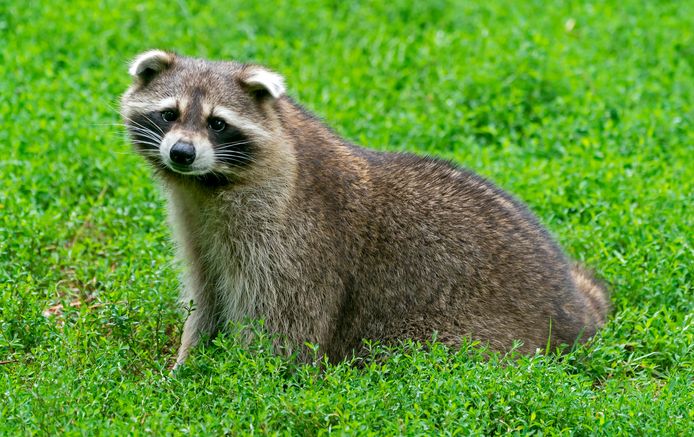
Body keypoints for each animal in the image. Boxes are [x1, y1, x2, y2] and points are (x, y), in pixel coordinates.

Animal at [122, 49, 612, 366]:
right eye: (169, 114)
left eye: (218, 123)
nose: (182, 153)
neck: (207, 187)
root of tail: (571, 307)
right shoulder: (198, 232)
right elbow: (206, 301)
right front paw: (187, 365)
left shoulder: (295, 238)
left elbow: (283, 330)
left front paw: (239, 380)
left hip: (467, 329)